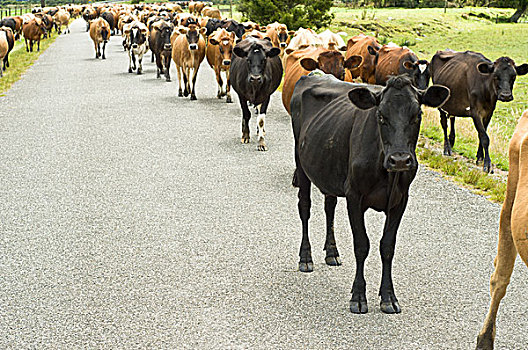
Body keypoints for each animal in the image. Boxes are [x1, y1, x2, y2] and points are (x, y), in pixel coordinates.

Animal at [288, 74, 450, 314]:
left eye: (417, 115)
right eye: (381, 116)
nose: (400, 160)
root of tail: (312, 75)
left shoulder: (400, 201)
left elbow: (387, 246)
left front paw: (388, 296)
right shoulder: (354, 196)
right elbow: (361, 245)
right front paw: (358, 296)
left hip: (328, 169)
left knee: (329, 206)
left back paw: (332, 252)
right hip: (301, 164)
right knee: (305, 207)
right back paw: (306, 257)